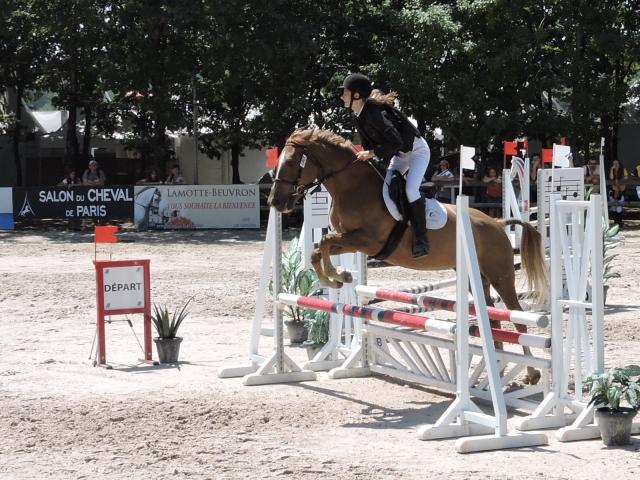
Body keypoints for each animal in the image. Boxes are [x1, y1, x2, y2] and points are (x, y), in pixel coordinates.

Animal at [268, 128, 548, 384]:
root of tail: (498, 223)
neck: (353, 188)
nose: (275, 202)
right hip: (474, 276)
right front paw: (337, 278)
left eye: (291, 162)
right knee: (491, 316)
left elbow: (325, 242)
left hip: (500, 274)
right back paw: (497, 372)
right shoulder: (351, 240)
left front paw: (339, 276)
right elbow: (318, 250)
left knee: (518, 318)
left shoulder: (366, 240)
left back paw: (531, 374)